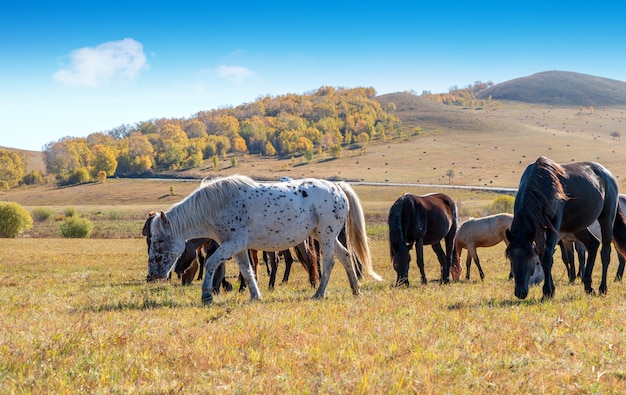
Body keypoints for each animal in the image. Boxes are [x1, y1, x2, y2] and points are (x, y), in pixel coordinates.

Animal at [145, 176, 380, 306]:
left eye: (159, 241)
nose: (153, 275)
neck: (217, 205)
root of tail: (338, 187)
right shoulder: (238, 248)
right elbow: (248, 271)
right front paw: (255, 296)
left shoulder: (232, 244)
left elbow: (211, 263)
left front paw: (206, 296)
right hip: (322, 236)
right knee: (346, 257)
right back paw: (356, 289)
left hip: (325, 236)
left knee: (329, 262)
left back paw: (319, 293)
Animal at [504, 156, 626, 298]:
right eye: (510, 257)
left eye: (530, 257)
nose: (520, 292)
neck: (541, 186)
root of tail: (608, 174)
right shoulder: (539, 230)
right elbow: (544, 255)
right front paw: (551, 290)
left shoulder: (553, 229)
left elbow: (547, 257)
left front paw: (547, 291)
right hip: (578, 226)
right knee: (593, 244)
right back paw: (588, 286)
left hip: (606, 219)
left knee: (605, 252)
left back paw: (602, 288)